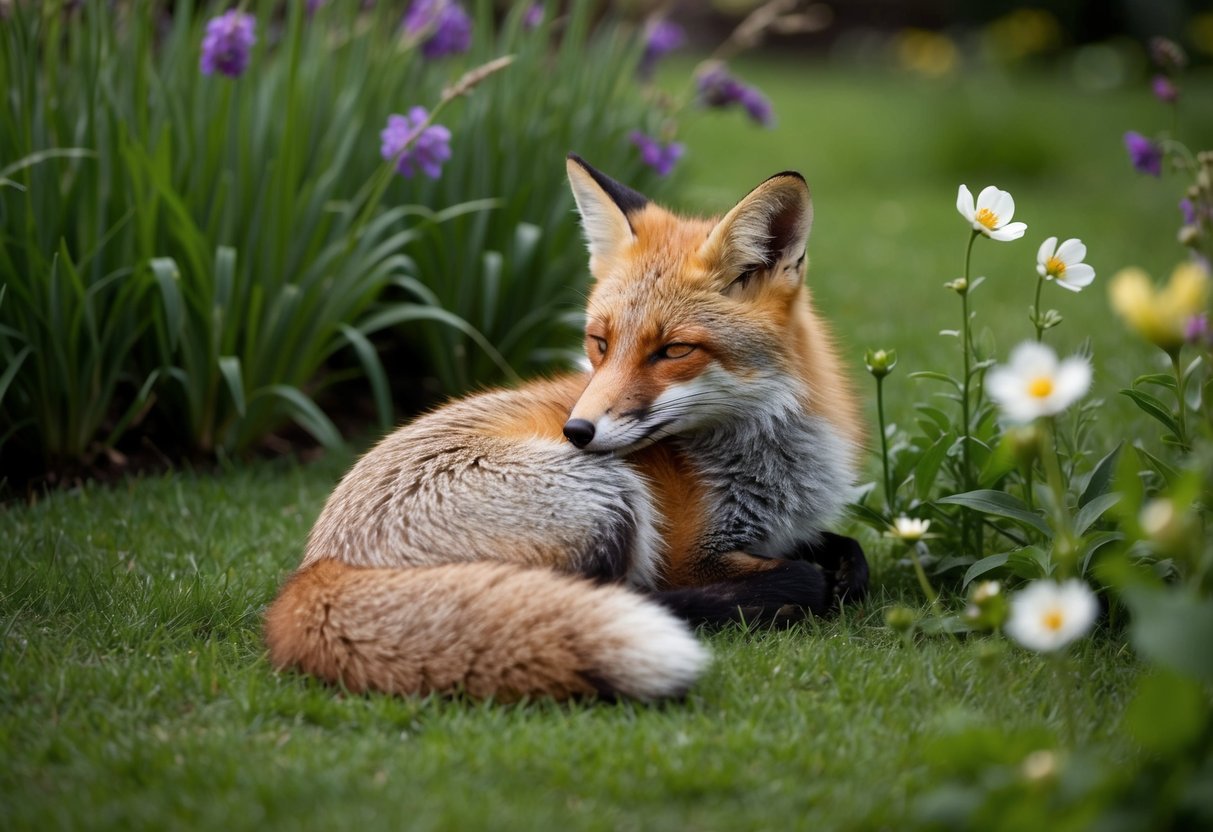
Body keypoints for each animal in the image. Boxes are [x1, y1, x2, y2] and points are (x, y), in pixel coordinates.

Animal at [264, 155, 868, 702]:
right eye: (599, 343)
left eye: (673, 350)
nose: (575, 430)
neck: (768, 462)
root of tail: (315, 569)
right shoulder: (692, 558)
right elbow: (805, 571)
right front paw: (809, 588)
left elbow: (849, 550)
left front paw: (842, 569)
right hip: (613, 495)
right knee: (603, 592)